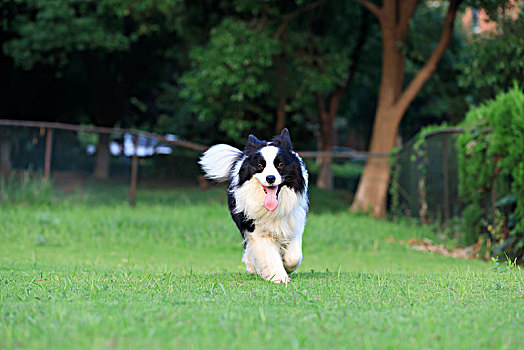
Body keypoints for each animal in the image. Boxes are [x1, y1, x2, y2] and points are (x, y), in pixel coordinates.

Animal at [200, 130, 308, 284]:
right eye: (260, 166)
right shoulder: (256, 228)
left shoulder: (294, 222)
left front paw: (286, 266)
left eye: (280, 164)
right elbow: (268, 253)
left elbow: (295, 256)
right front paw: (279, 276)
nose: (270, 178)